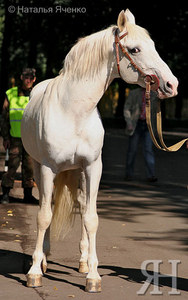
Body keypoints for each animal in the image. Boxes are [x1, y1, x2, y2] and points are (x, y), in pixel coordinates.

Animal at [21, 9, 178, 292]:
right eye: (135, 49)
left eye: (153, 46)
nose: (172, 84)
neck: (73, 111)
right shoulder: (49, 168)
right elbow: (44, 216)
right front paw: (34, 271)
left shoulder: (93, 167)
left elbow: (91, 218)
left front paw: (93, 276)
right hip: (40, 168)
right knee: (45, 206)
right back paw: (45, 258)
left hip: (80, 174)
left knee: (83, 207)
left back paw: (83, 261)